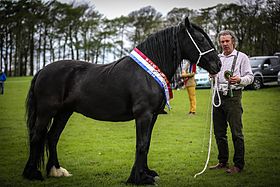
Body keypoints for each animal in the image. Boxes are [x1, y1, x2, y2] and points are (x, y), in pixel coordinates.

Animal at [23, 17, 221, 184]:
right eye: (201, 39)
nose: (218, 65)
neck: (146, 73)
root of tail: (41, 71)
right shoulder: (143, 115)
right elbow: (141, 144)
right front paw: (139, 178)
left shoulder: (153, 116)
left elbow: (147, 143)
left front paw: (146, 173)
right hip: (46, 112)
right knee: (36, 136)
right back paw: (32, 174)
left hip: (64, 112)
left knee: (52, 137)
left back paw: (56, 170)